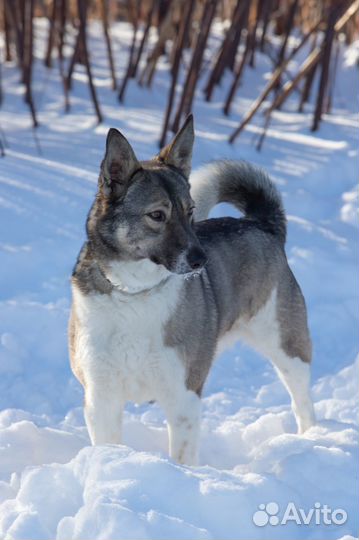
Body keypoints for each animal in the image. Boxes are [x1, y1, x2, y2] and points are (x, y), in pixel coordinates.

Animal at [69, 114, 316, 464]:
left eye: (190, 211)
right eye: (157, 215)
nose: (202, 259)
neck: (135, 293)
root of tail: (262, 224)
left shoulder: (183, 396)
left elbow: (182, 458)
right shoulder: (101, 398)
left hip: (287, 345)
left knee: (302, 400)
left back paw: (312, 437)